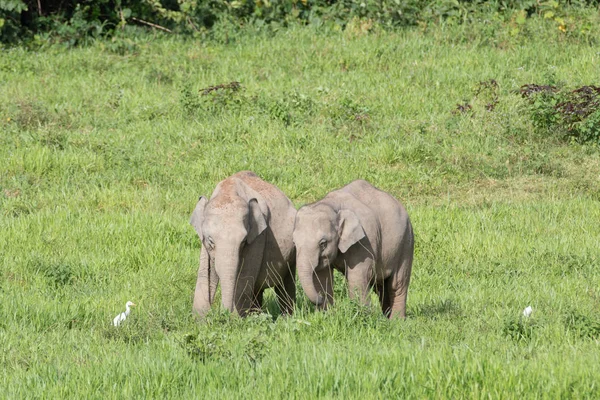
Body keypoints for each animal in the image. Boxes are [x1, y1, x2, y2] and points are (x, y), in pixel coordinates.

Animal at [191, 170, 296, 318]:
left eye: (243, 242)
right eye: (211, 241)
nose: (224, 313)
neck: (228, 190)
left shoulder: (259, 236)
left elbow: (244, 276)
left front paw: (235, 320)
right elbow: (205, 274)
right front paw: (200, 320)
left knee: (285, 284)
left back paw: (286, 317)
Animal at [292, 180, 414, 318]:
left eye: (323, 243)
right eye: (294, 243)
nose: (320, 298)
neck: (332, 206)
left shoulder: (365, 239)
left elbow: (357, 277)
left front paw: (361, 316)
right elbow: (322, 276)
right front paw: (326, 315)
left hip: (406, 243)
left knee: (397, 284)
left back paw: (396, 320)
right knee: (381, 286)